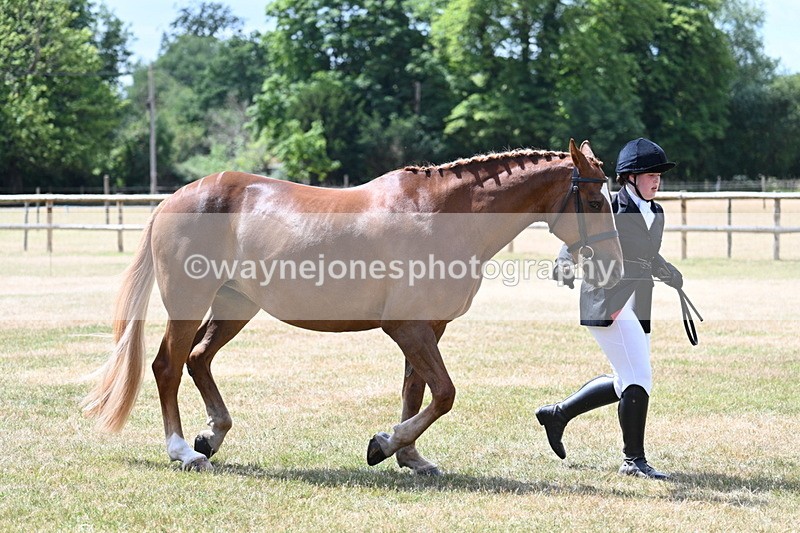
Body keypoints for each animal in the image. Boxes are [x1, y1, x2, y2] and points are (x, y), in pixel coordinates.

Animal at [82, 139, 623, 474]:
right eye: (597, 202)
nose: (614, 264)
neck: (439, 215)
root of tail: (174, 198)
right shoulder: (406, 326)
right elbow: (444, 392)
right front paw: (384, 445)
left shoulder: (429, 328)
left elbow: (416, 389)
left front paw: (410, 456)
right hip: (189, 303)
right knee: (169, 365)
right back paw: (182, 451)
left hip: (236, 305)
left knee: (198, 359)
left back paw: (211, 437)